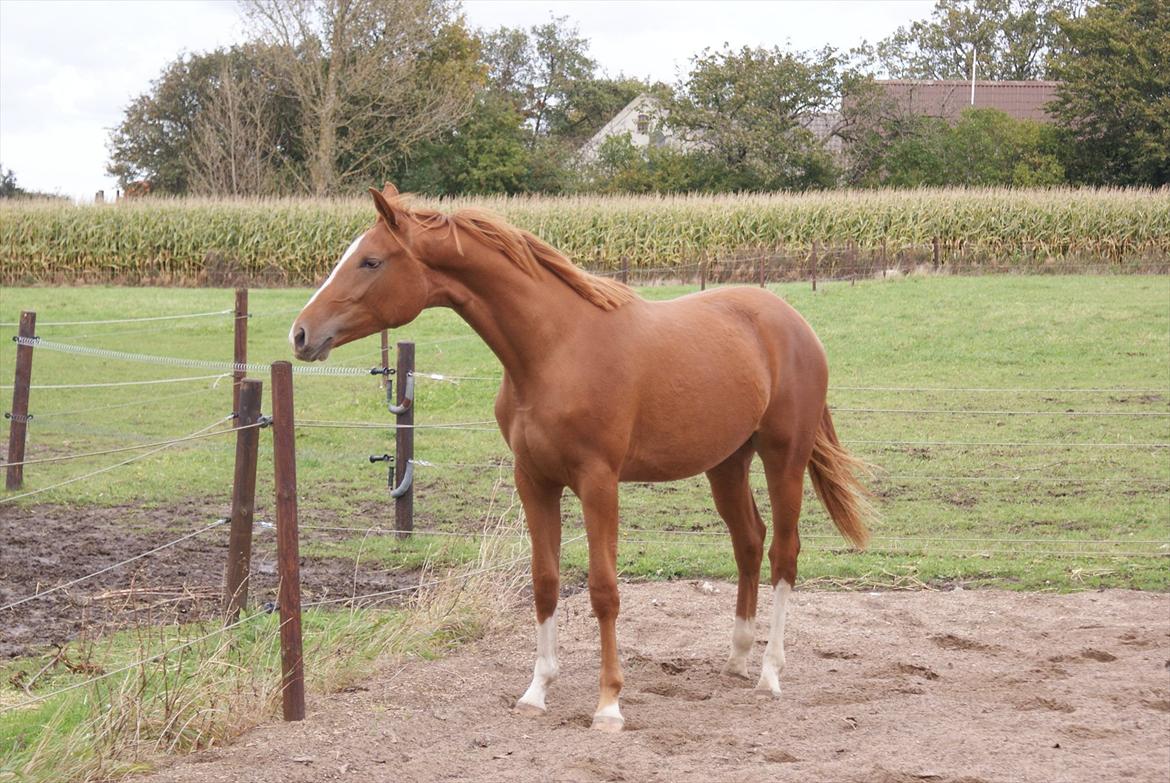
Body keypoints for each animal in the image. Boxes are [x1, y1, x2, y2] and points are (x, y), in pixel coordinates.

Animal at [291, 184, 870, 735]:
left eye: (371, 261)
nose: (300, 334)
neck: (555, 349)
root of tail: (794, 322)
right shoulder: (533, 480)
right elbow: (545, 582)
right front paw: (536, 691)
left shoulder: (598, 482)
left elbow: (603, 590)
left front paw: (609, 705)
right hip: (726, 463)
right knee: (748, 542)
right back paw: (736, 660)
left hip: (783, 458)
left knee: (783, 553)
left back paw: (770, 674)